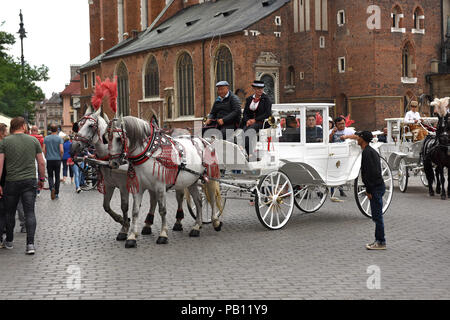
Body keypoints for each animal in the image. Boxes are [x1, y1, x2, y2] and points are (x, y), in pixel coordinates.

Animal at [109, 115, 221, 248]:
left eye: (119, 139)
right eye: (107, 138)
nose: (112, 163)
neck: (150, 153)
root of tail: (206, 141)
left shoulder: (160, 187)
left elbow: (162, 210)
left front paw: (163, 235)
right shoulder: (138, 188)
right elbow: (135, 211)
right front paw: (131, 237)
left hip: (210, 179)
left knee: (212, 200)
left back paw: (215, 222)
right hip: (192, 181)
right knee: (198, 202)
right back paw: (196, 227)